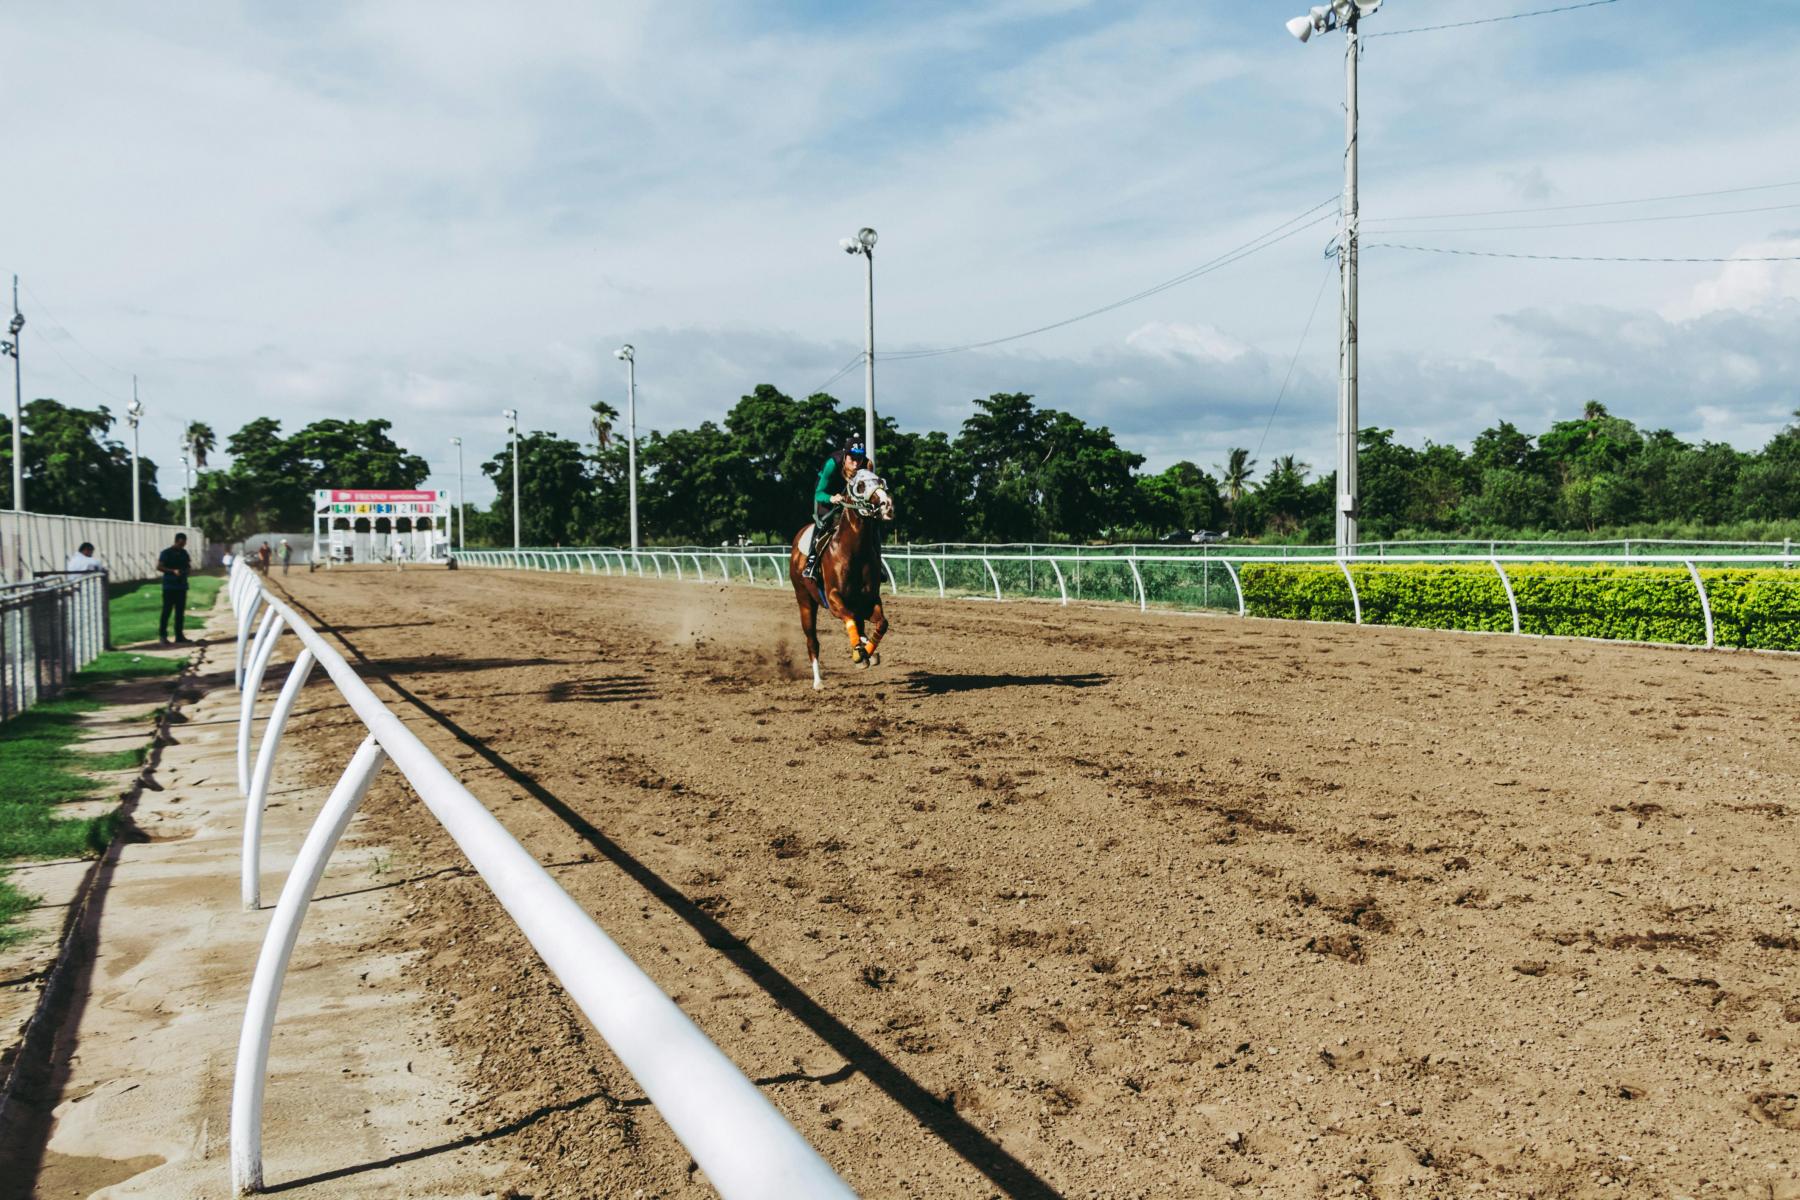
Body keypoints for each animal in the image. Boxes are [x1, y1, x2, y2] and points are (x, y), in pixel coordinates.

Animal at [792, 471, 896, 690]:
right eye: (860, 485)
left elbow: (882, 623)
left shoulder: (869, 600)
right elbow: (849, 618)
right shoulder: (833, 599)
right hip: (804, 599)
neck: (854, 551)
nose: (887, 504)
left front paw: (867, 651)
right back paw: (818, 681)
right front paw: (859, 653)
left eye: (881, 481)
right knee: (812, 640)